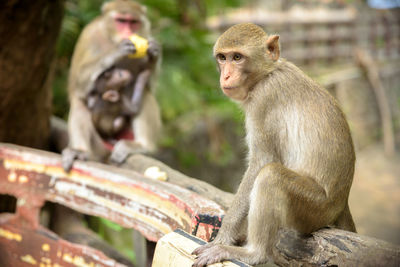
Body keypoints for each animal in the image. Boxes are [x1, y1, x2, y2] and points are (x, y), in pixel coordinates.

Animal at [62, 0, 161, 172]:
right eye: (121, 21)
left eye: (133, 22)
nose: (128, 32)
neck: (111, 38)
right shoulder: (88, 36)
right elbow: (78, 83)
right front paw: (116, 51)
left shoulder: (147, 35)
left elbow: (149, 84)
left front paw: (153, 54)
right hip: (98, 142)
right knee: (79, 103)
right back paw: (79, 151)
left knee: (146, 94)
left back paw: (142, 145)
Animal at [191, 22, 356, 266]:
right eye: (222, 58)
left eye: (237, 57)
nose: (226, 75)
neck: (267, 74)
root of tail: (342, 201)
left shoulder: (263, 99)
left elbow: (263, 162)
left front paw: (223, 237)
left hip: (315, 208)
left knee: (271, 176)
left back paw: (253, 253)